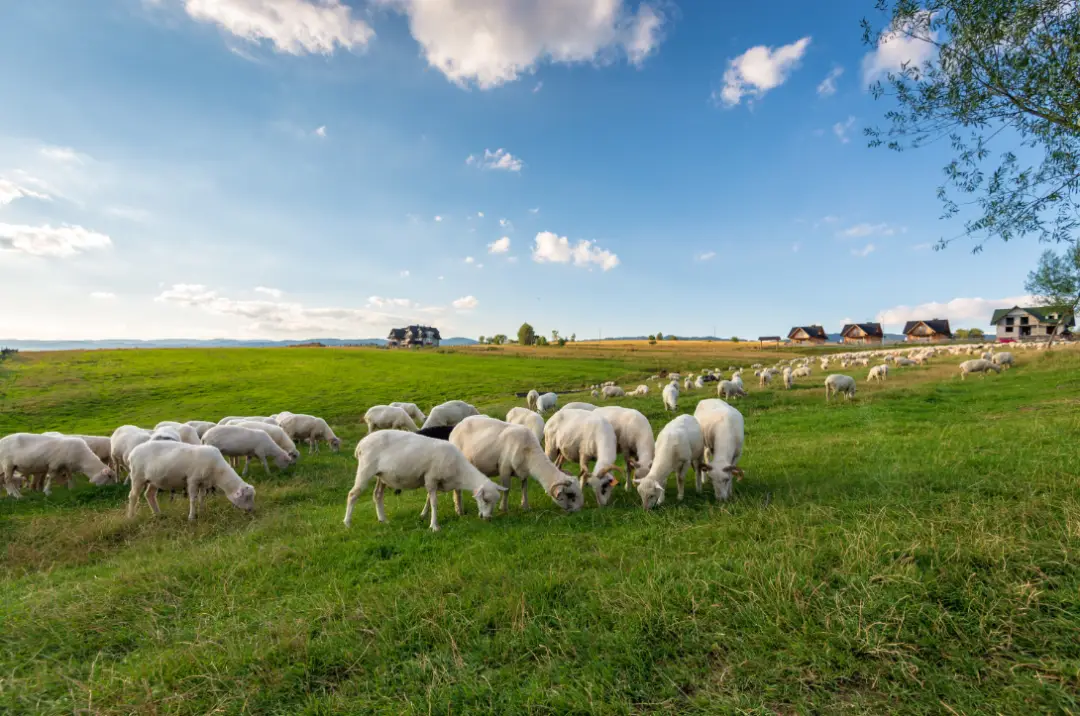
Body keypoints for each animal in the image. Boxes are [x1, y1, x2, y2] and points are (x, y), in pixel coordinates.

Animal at [125, 442, 253, 520]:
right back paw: (131, 517)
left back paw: (158, 514)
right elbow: (193, 499)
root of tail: (132, 453)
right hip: (137, 476)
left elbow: (202, 497)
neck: (218, 471)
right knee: (133, 496)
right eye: (246, 498)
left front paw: (202, 511)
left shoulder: (203, 482)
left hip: (153, 480)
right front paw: (191, 517)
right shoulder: (192, 480)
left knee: (149, 495)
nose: (251, 510)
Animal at [343, 425, 507, 531]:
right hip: (365, 469)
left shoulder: (431, 481)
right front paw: (434, 526)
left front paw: (423, 515)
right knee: (352, 494)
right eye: (485, 500)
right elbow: (434, 502)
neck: (459, 471)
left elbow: (428, 498)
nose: (488, 519)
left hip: (381, 476)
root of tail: (360, 445)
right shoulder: (431, 478)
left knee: (377, 495)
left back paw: (383, 520)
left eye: (494, 502)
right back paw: (347, 523)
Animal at [447, 414, 583, 516]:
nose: (579, 510)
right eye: (570, 495)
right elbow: (507, 489)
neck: (528, 450)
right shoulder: (504, 468)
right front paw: (503, 508)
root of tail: (457, 427)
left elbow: (524, 487)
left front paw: (525, 506)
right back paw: (459, 511)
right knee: (457, 490)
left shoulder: (523, 471)